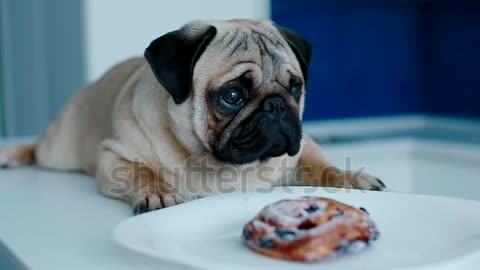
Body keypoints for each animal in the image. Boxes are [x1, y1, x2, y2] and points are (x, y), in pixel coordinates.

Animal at [0, 19, 384, 213]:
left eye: (295, 88)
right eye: (232, 95)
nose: (275, 106)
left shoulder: (302, 150)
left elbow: (323, 166)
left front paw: (351, 177)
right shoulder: (113, 156)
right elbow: (141, 172)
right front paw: (158, 193)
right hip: (59, 150)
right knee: (37, 149)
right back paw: (12, 154)